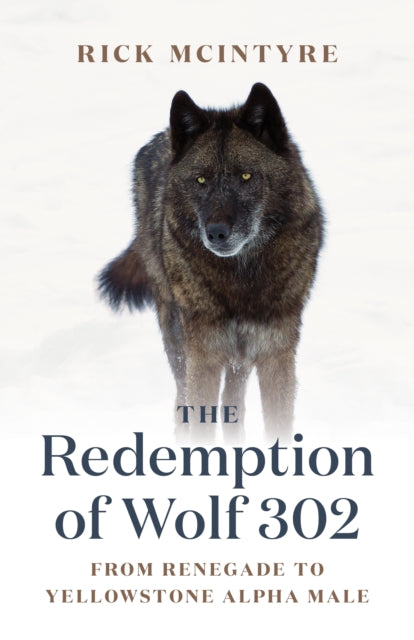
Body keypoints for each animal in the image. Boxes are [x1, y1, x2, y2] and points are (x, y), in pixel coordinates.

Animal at [98, 83, 323, 439]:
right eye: (201, 180)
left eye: (245, 176)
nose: (215, 233)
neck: (242, 280)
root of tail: (161, 135)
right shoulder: (203, 356)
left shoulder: (276, 354)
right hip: (178, 339)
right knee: (182, 402)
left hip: (239, 359)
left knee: (234, 402)